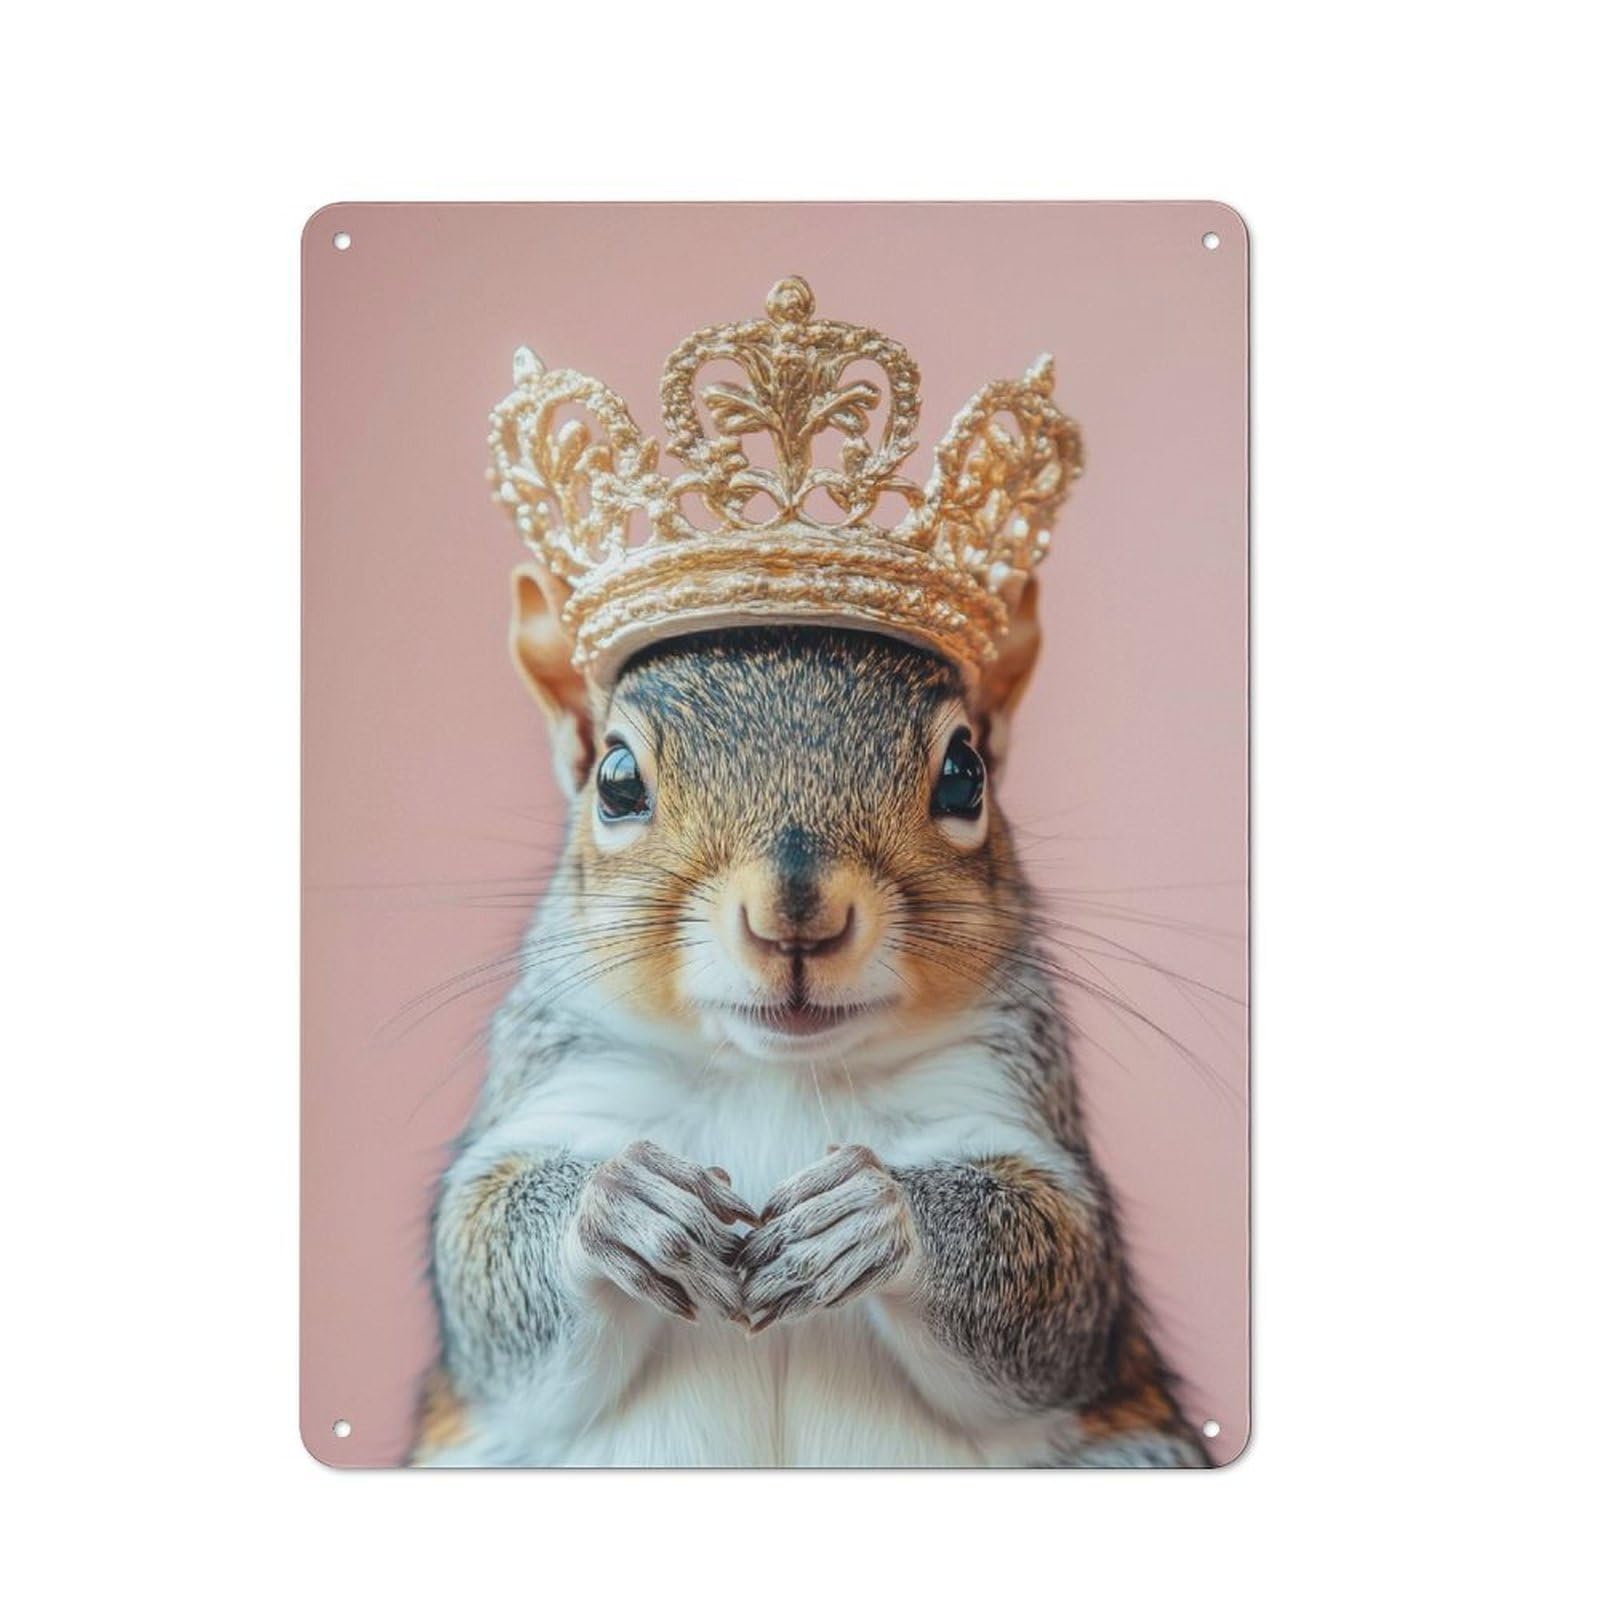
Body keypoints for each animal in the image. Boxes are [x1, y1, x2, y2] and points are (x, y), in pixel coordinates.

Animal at [414, 572, 1209, 1466]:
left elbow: (1060, 1280)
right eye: (617, 782)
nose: (795, 918)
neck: (780, 1075)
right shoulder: (567, 1078)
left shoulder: (1009, 1099)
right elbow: (484, 1277)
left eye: (964, 775)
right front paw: (624, 1202)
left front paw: (871, 1215)